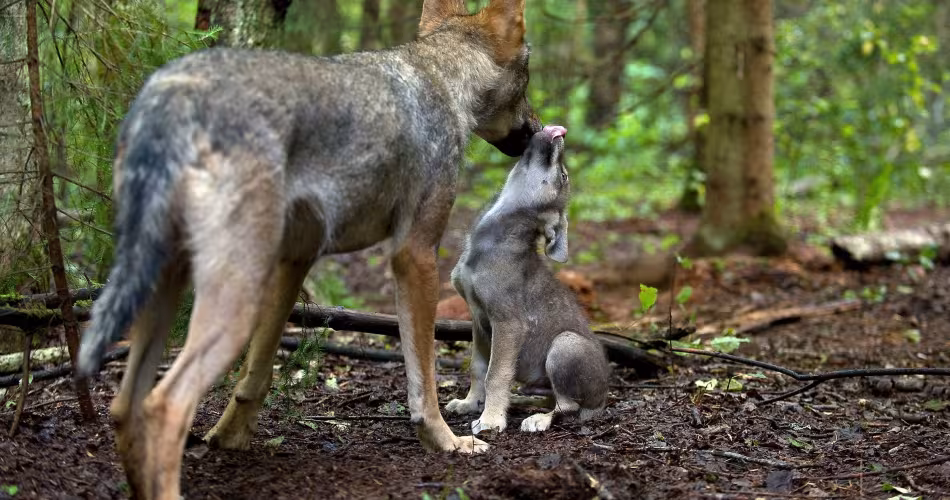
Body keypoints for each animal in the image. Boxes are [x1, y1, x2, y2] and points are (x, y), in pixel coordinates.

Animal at [76, 0, 540, 498]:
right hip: (230, 302)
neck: (439, 76)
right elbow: (424, 378)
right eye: (528, 79)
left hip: (164, 286)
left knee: (124, 408)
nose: (536, 130)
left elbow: (256, 375)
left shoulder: (294, 258)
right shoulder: (414, 255)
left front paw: (229, 437)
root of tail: (169, 97)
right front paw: (447, 442)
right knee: (164, 406)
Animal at [446, 125, 611, 435]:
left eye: (563, 176)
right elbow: (477, 367)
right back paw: (523, 402)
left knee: (567, 406)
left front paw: (490, 419)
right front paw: (470, 403)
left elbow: (495, 374)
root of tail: (602, 401)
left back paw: (538, 419)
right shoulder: (478, 318)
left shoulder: (507, 323)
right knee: (552, 398)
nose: (562, 133)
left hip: (564, 344)